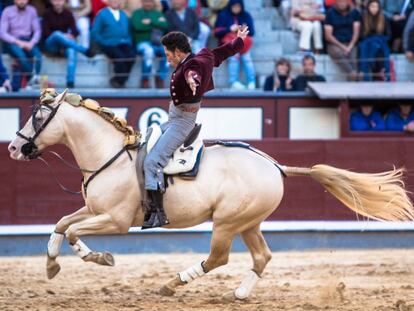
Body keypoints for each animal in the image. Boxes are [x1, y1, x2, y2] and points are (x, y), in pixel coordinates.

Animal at [7, 90, 414, 302]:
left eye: (39, 116)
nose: (12, 147)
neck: (110, 153)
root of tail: (275, 166)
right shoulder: (92, 209)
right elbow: (61, 223)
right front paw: (51, 265)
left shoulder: (117, 221)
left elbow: (75, 232)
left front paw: (101, 258)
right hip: (249, 222)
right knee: (262, 256)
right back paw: (238, 294)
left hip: (227, 222)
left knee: (219, 257)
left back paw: (172, 284)